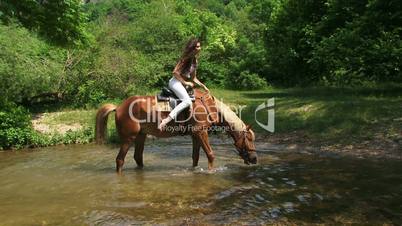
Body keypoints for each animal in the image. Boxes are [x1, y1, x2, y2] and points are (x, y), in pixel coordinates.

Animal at [96, 88, 256, 173]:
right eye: (249, 139)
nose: (254, 159)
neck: (208, 107)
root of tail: (119, 107)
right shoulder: (201, 133)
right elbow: (210, 155)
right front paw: (211, 172)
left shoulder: (195, 135)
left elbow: (195, 157)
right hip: (128, 138)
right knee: (120, 160)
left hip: (141, 136)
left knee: (138, 157)